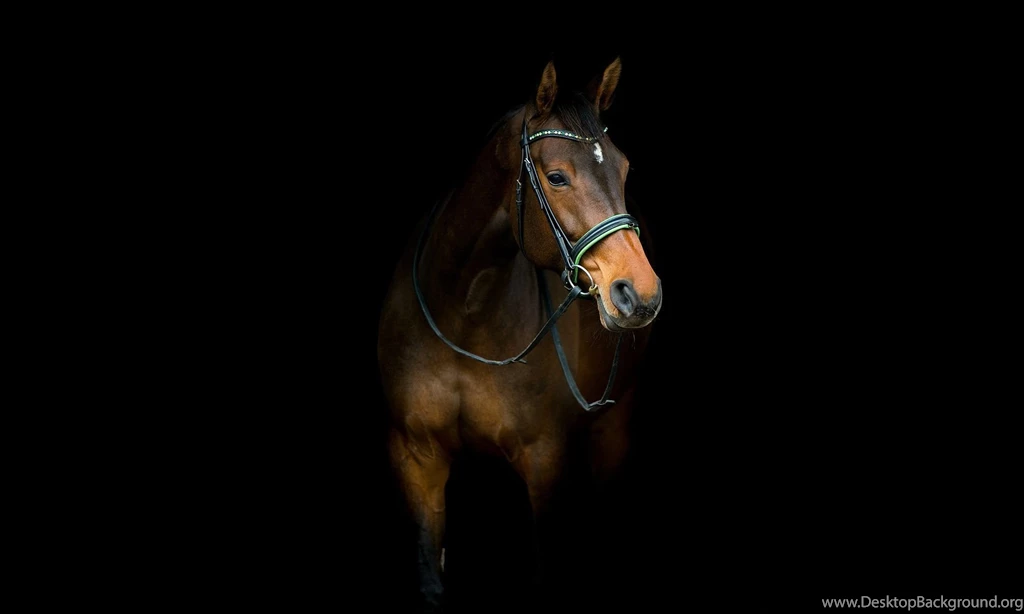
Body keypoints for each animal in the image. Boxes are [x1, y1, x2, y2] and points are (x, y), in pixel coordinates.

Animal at [377, 57, 662, 609]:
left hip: (614, 429)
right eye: (557, 177)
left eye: (624, 169)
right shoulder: (416, 458)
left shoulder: (545, 461)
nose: (640, 293)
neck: (464, 311)